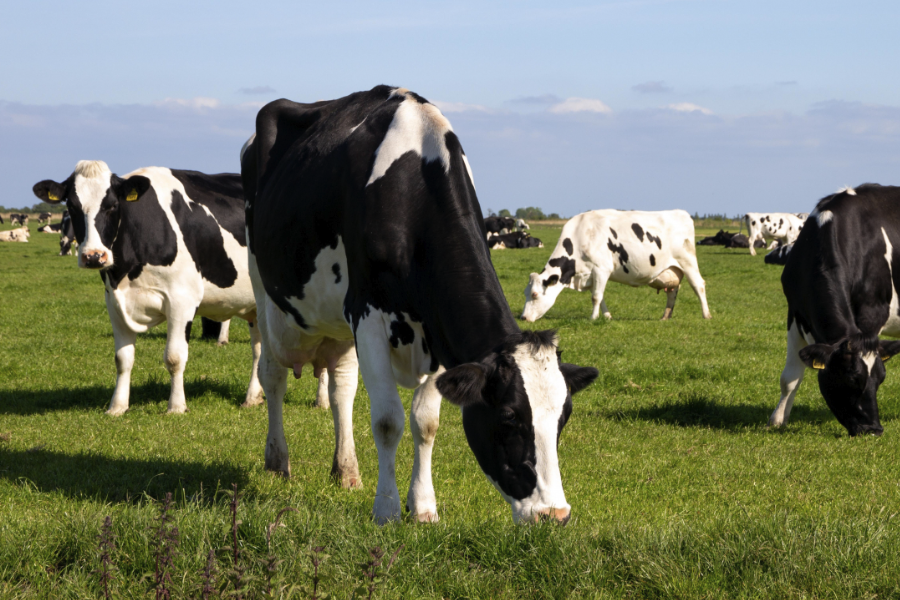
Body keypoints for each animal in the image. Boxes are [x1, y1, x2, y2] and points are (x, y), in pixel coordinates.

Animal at [32, 158, 264, 418]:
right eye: (71, 206)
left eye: (112, 205)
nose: (94, 256)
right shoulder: (114, 302)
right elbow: (122, 358)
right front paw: (117, 407)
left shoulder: (182, 300)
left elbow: (174, 357)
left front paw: (176, 407)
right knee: (259, 349)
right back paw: (252, 398)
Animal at [243, 86, 600, 524]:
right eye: (508, 418)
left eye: (564, 417)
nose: (554, 514)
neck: (412, 190)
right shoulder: (367, 315)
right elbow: (387, 421)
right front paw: (387, 508)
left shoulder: (437, 329)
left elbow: (425, 422)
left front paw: (424, 506)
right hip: (265, 291)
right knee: (273, 374)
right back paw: (277, 461)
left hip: (337, 323)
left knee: (341, 389)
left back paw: (346, 470)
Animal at [520, 209, 712, 322]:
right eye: (525, 293)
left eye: (535, 294)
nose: (523, 318)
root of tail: (681, 213)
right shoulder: (592, 274)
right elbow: (600, 296)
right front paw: (606, 316)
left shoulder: (601, 268)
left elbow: (596, 297)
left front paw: (593, 318)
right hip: (673, 269)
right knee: (672, 291)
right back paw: (665, 317)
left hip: (687, 262)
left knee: (699, 285)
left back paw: (706, 315)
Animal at [768, 184, 900, 436]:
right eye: (850, 378)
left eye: (881, 379)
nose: (873, 429)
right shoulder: (794, 313)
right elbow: (790, 377)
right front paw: (778, 419)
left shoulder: (873, 313)